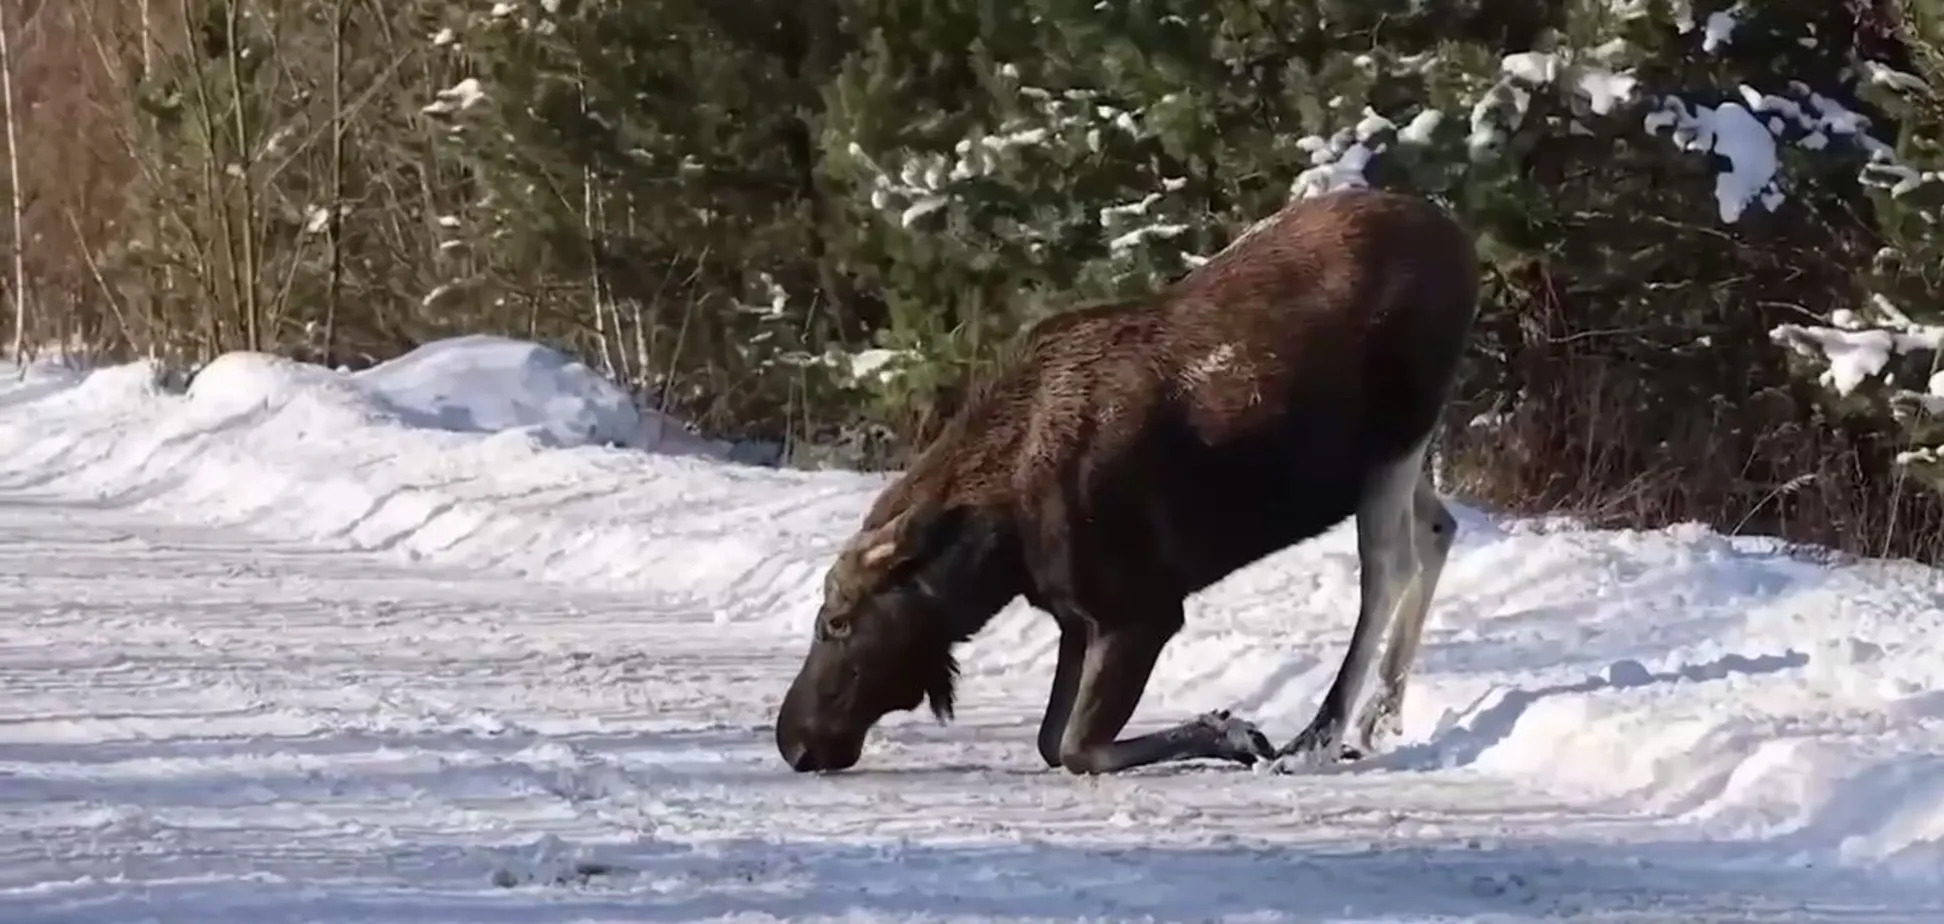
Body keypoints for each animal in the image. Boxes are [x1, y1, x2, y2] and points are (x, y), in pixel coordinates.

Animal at [773, 187, 1479, 776]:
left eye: (837, 622)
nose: (792, 740)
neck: (1000, 550)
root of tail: (1460, 239)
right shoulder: (1075, 618)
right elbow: (1051, 740)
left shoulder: (1141, 609)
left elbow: (1076, 747)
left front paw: (1236, 731)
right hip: (1385, 458)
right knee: (1438, 528)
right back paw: (1379, 717)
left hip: (1397, 434)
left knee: (1388, 565)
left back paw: (1319, 736)